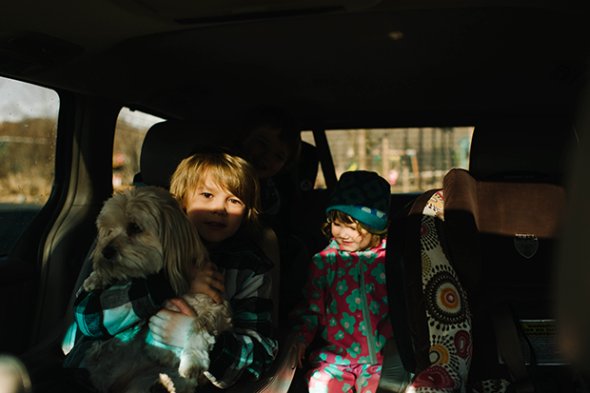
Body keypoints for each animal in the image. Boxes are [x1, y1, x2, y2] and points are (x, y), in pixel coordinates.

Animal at [81, 186, 234, 392]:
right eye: (109, 230)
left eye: (135, 227)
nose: (105, 251)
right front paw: (96, 277)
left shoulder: (217, 309)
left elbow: (197, 324)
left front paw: (193, 360)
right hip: (112, 358)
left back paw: (162, 384)